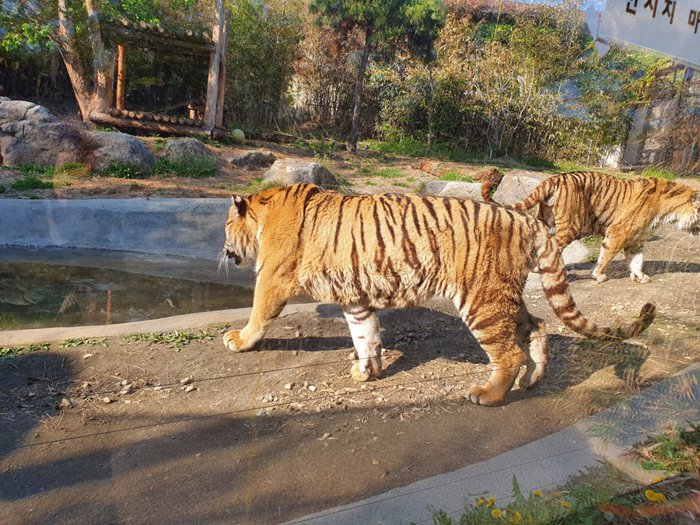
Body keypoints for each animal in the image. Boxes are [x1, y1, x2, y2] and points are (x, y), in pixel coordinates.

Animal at [220, 183, 656, 406]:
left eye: (225, 226)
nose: (223, 250)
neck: (264, 211)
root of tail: (528, 221)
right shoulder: (356, 297)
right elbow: (365, 335)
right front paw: (367, 371)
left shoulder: (273, 277)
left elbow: (258, 312)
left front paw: (239, 340)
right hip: (504, 296)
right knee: (537, 324)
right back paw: (534, 379)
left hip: (482, 300)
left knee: (509, 353)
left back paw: (489, 395)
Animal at [511, 172, 700, 284]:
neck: (670, 213)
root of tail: (555, 178)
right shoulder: (618, 232)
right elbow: (606, 255)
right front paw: (599, 275)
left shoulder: (637, 240)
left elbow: (637, 260)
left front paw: (640, 277)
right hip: (570, 226)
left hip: (546, 219)